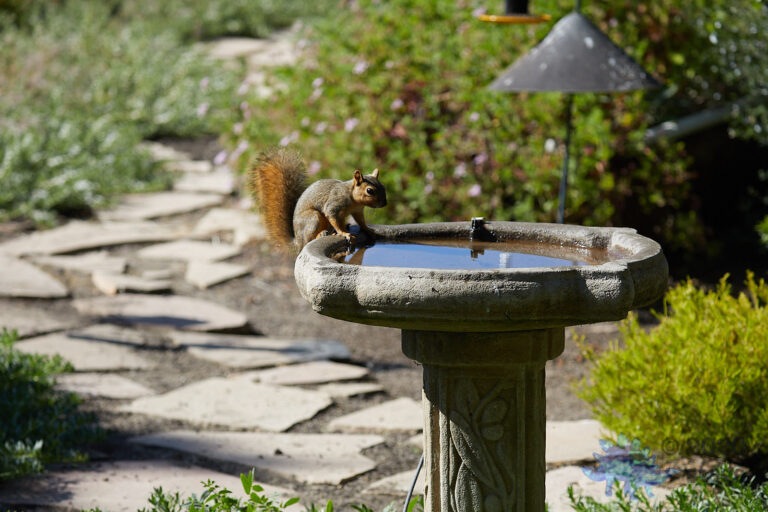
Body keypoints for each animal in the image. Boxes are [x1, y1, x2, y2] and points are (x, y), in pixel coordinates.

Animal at [249, 147, 388, 252]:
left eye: (383, 186)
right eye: (370, 191)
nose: (384, 204)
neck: (353, 199)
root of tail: (297, 241)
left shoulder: (357, 211)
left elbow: (361, 222)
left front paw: (368, 230)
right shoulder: (334, 204)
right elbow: (331, 215)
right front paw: (343, 233)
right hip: (312, 218)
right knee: (308, 240)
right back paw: (322, 234)